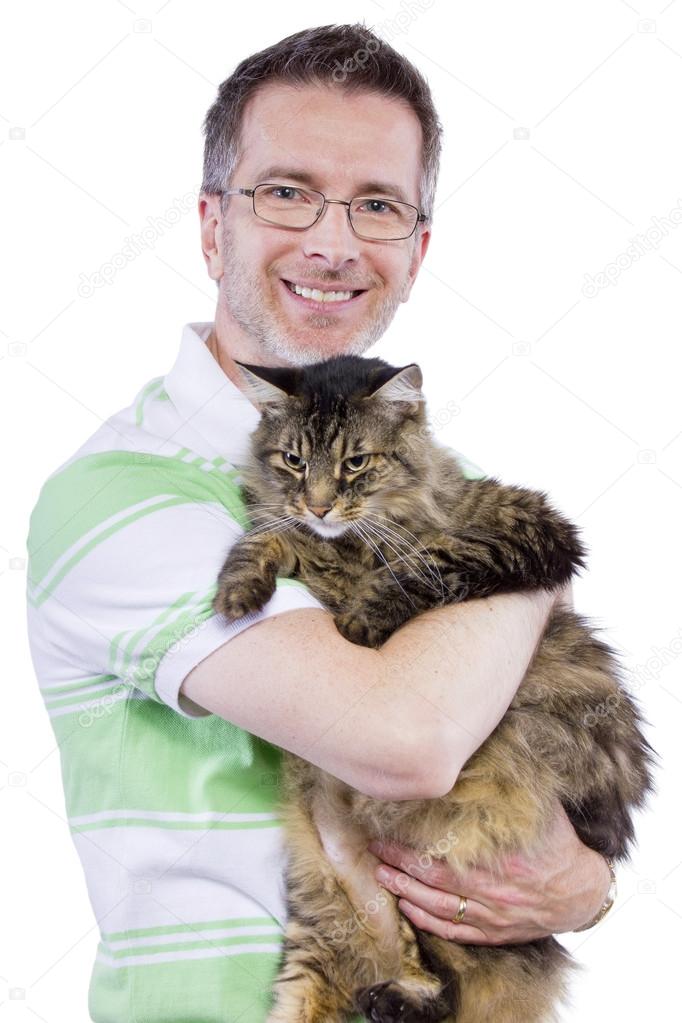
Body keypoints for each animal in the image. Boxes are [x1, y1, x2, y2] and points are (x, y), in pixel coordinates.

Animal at [211, 353, 654, 1023]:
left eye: (355, 463)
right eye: (293, 460)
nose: (318, 506)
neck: (353, 550)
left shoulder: (530, 529)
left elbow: (430, 561)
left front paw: (365, 617)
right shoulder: (305, 546)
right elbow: (266, 537)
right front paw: (238, 590)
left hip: (440, 885)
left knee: (444, 991)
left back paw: (395, 999)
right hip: (320, 918)